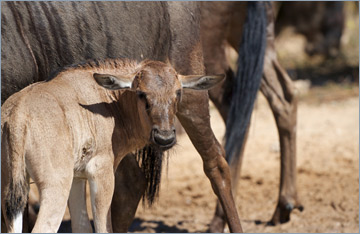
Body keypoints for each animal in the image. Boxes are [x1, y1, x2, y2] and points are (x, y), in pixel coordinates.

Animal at [0, 58, 225, 232]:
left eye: (178, 92)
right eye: (141, 93)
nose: (164, 138)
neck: (108, 101)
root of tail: (17, 115)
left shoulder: (77, 179)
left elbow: (82, 227)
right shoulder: (101, 174)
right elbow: (103, 227)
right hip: (55, 187)